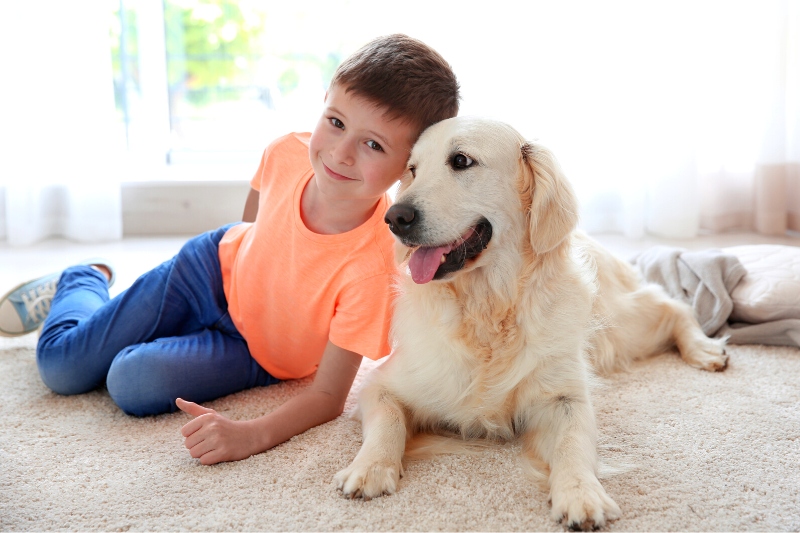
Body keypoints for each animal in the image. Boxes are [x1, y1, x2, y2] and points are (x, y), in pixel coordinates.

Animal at [334, 115, 728, 528]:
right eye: (412, 169)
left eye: (461, 161)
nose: (395, 218)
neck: (488, 307)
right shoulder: (383, 384)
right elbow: (388, 420)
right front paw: (370, 467)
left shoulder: (564, 397)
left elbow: (573, 442)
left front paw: (580, 493)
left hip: (621, 327)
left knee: (671, 305)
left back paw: (703, 349)